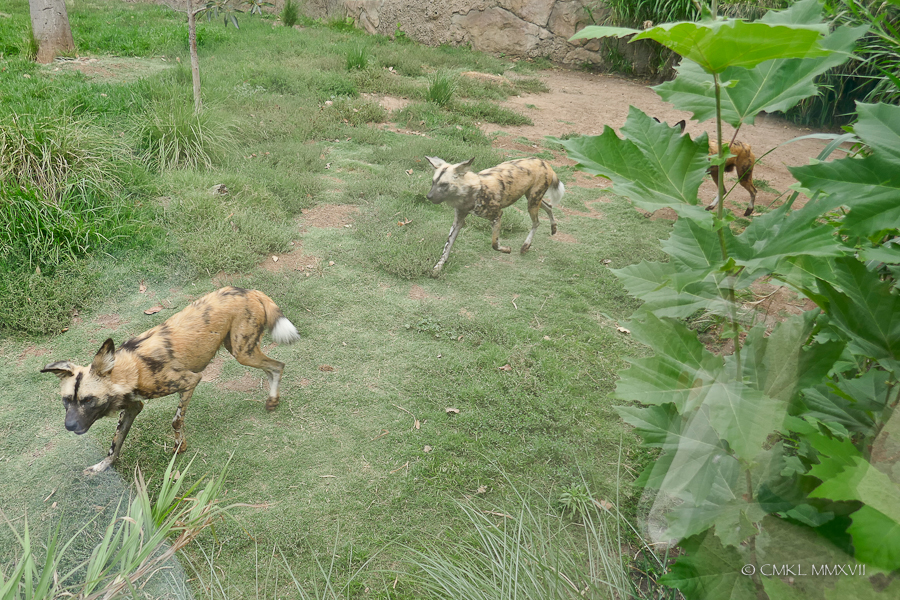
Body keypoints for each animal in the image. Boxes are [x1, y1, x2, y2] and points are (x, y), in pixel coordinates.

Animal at [41, 287, 301, 474]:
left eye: (87, 400)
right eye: (67, 400)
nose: (69, 426)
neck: (131, 369)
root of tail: (248, 290)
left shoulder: (190, 381)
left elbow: (176, 421)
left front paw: (179, 448)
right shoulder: (133, 407)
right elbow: (115, 444)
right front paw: (103, 467)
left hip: (242, 353)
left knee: (278, 366)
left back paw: (273, 400)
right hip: (239, 349)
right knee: (272, 367)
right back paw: (272, 400)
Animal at [425, 156, 564, 274]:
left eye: (444, 184)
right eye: (433, 182)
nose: (428, 196)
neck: (473, 192)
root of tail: (544, 162)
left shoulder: (497, 216)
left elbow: (494, 244)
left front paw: (507, 249)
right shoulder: (458, 222)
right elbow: (447, 247)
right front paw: (438, 267)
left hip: (532, 202)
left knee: (536, 222)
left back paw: (526, 245)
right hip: (532, 198)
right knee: (549, 207)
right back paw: (553, 228)